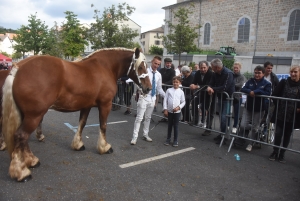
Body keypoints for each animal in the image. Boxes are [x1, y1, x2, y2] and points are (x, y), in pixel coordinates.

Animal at [2, 47, 151, 182]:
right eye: (140, 67)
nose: (149, 88)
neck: (105, 67)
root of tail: (18, 68)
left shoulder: (86, 106)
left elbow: (82, 124)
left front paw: (78, 145)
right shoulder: (105, 104)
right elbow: (103, 125)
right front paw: (104, 147)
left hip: (26, 115)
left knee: (23, 138)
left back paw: (31, 161)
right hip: (34, 115)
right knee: (21, 136)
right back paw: (22, 172)